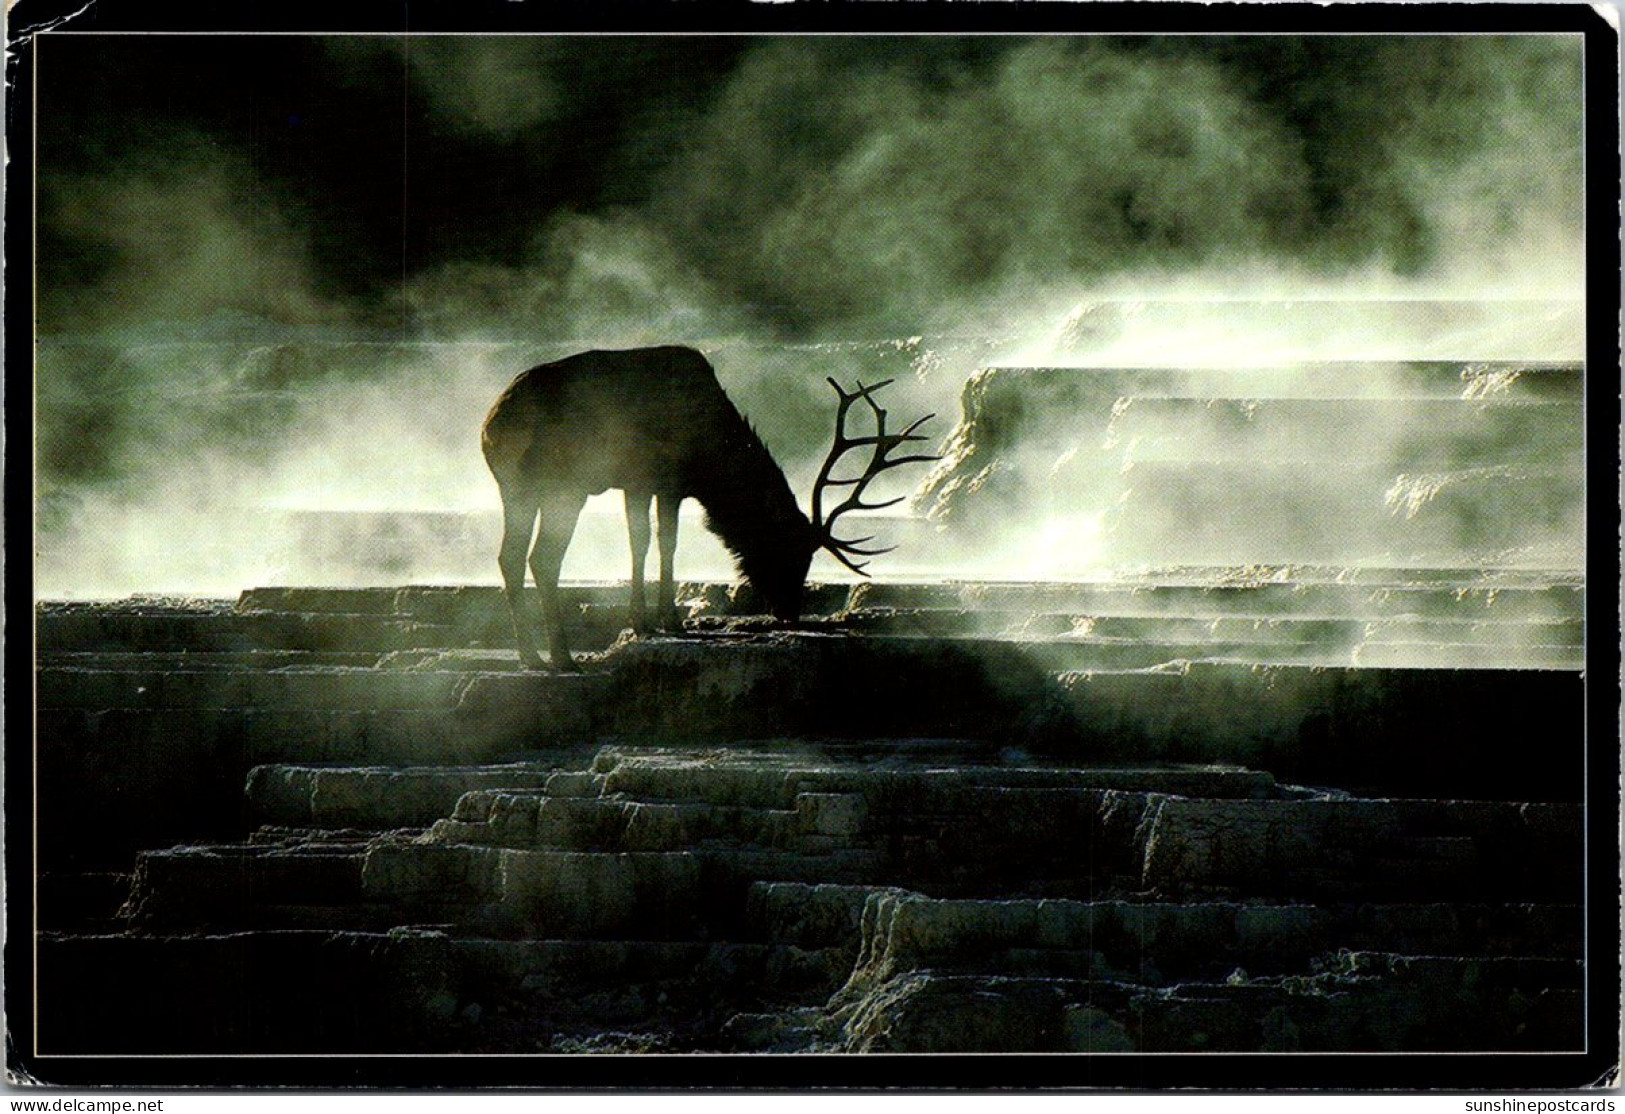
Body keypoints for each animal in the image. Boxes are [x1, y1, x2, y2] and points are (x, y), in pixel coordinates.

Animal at [477, 344, 942, 669]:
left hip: (514, 489)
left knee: (509, 556)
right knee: (542, 557)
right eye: (793, 551)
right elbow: (662, 542)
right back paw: (561, 658)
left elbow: (641, 542)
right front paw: (664, 619)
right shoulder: (661, 480)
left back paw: (532, 656)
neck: (710, 458)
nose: (790, 613)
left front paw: (647, 619)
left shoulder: (638, 484)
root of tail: (491, 427)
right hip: (563, 484)